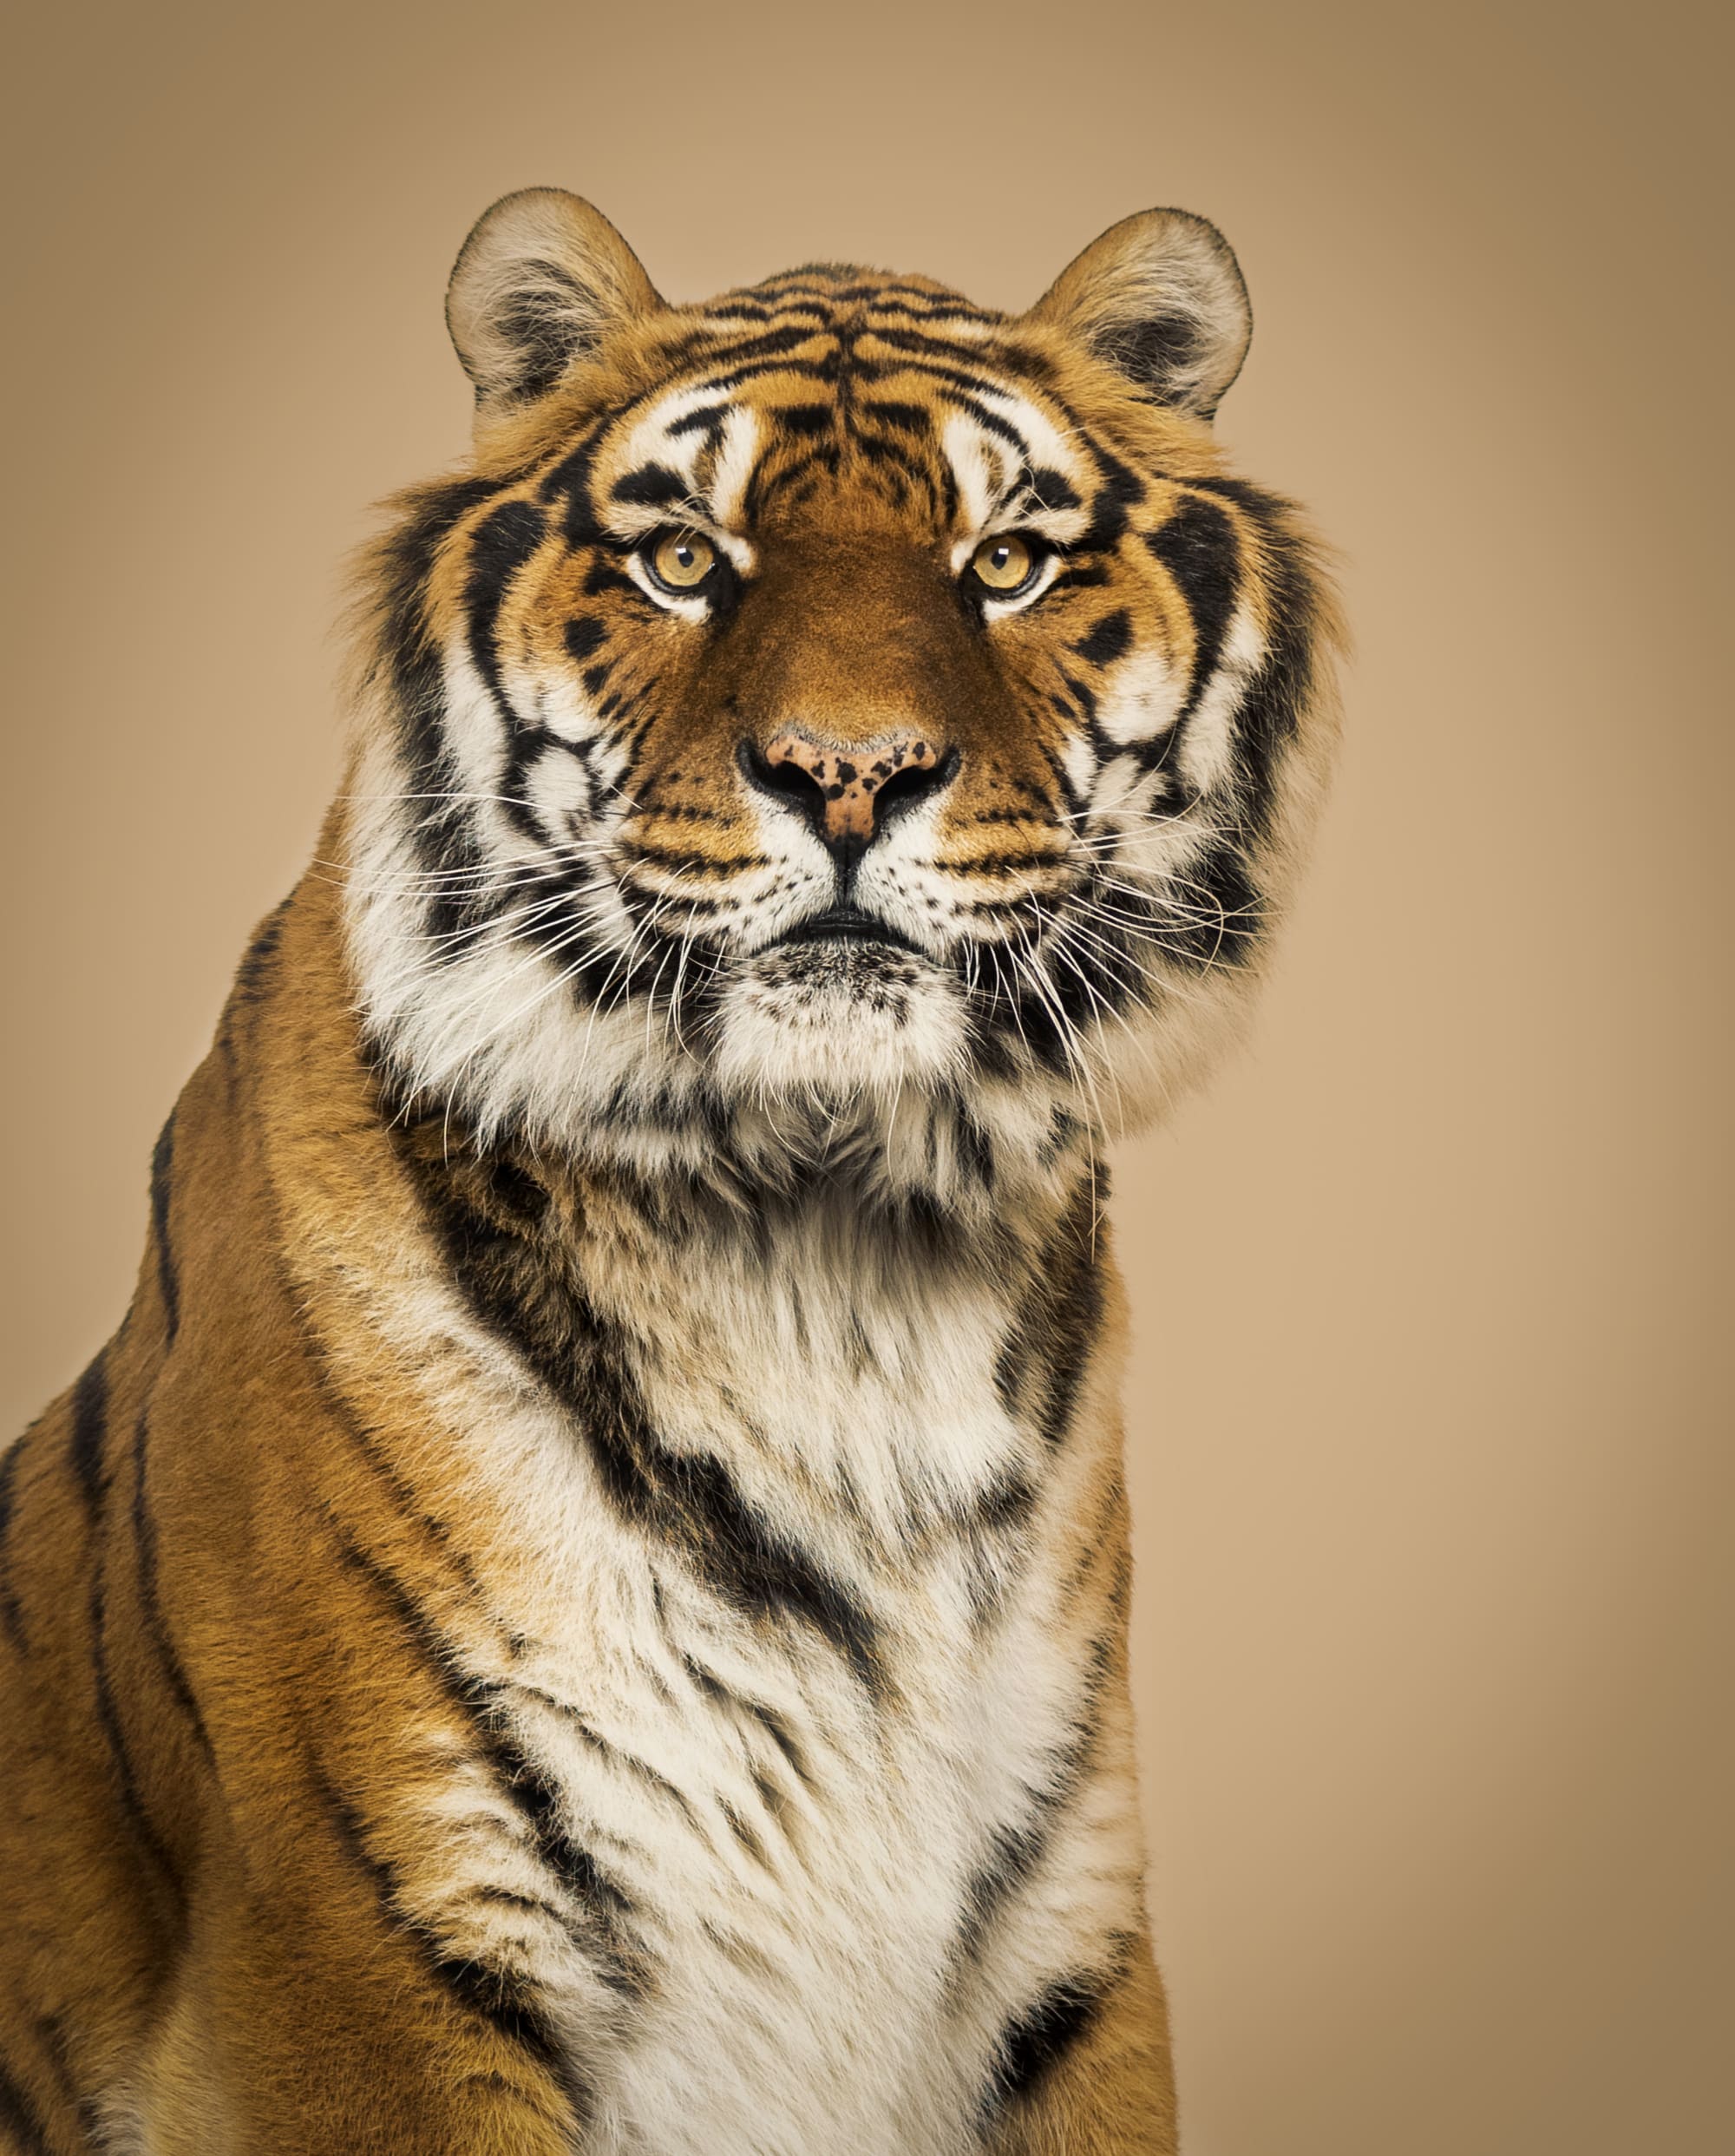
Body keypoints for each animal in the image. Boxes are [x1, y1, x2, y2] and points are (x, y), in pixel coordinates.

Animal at [0, 188, 1339, 2154]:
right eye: (686, 560)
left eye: (1007, 561)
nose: (849, 775)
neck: (829, 1245)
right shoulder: (366, 1943)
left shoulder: (1067, 1935)